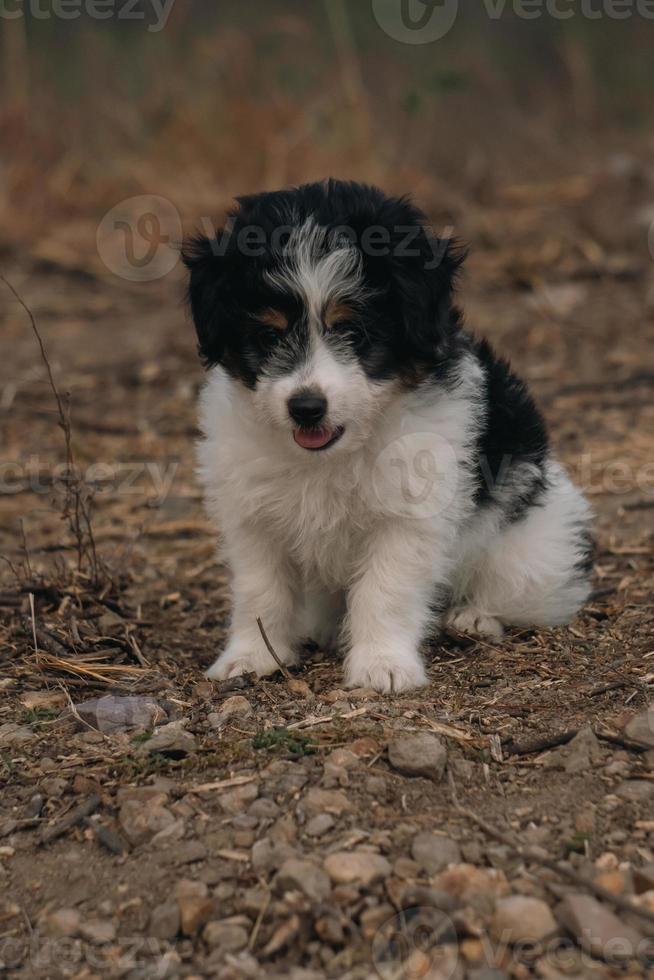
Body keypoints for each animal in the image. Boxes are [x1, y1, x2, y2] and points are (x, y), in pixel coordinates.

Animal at [181, 178, 596, 696]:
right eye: (269, 337)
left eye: (354, 332)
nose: (306, 407)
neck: (337, 451)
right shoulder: (252, 515)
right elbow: (261, 588)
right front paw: (253, 655)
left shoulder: (408, 514)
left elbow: (386, 588)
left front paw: (383, 664)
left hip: (529, 548)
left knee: (523, 591)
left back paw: (474, 618)